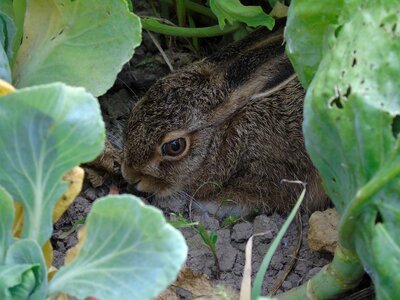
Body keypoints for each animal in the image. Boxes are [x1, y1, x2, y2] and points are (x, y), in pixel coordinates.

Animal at [121, 28, 328, 214]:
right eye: (136, 108)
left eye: (175, 146)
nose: (130, 175)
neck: (228, 135)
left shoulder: (276, 174)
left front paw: (206, 205)